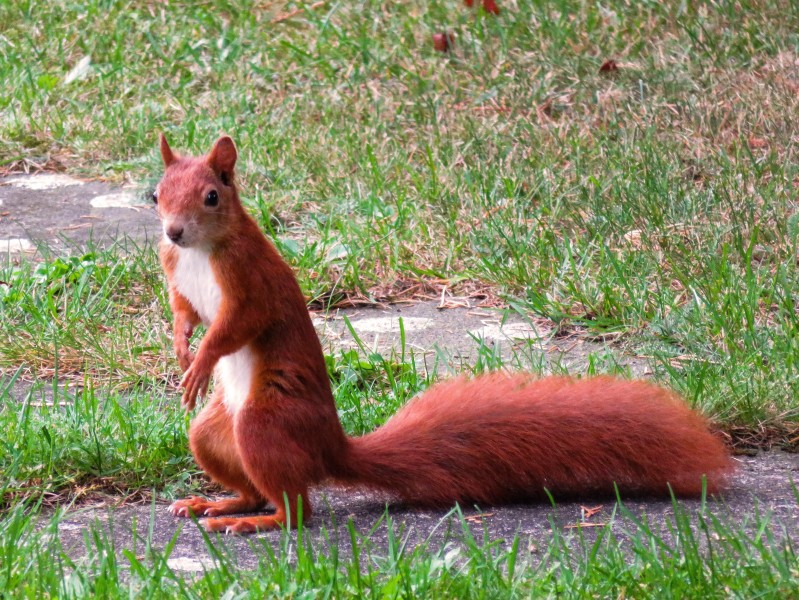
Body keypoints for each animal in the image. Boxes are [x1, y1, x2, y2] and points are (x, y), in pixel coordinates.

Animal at [153, 135, 736, 536]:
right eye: (155, 193)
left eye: (211, 196)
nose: (172, 231)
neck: (200, 252)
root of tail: (329, 448)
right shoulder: (176, 274)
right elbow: (184, 310)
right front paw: (182, 343)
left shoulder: (250, 282)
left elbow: (236, 326)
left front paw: (200, 361)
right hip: (213, 435)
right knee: (253, 486)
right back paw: (219, 504)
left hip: (264, 423)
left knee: (298, 509)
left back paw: (257, 521)